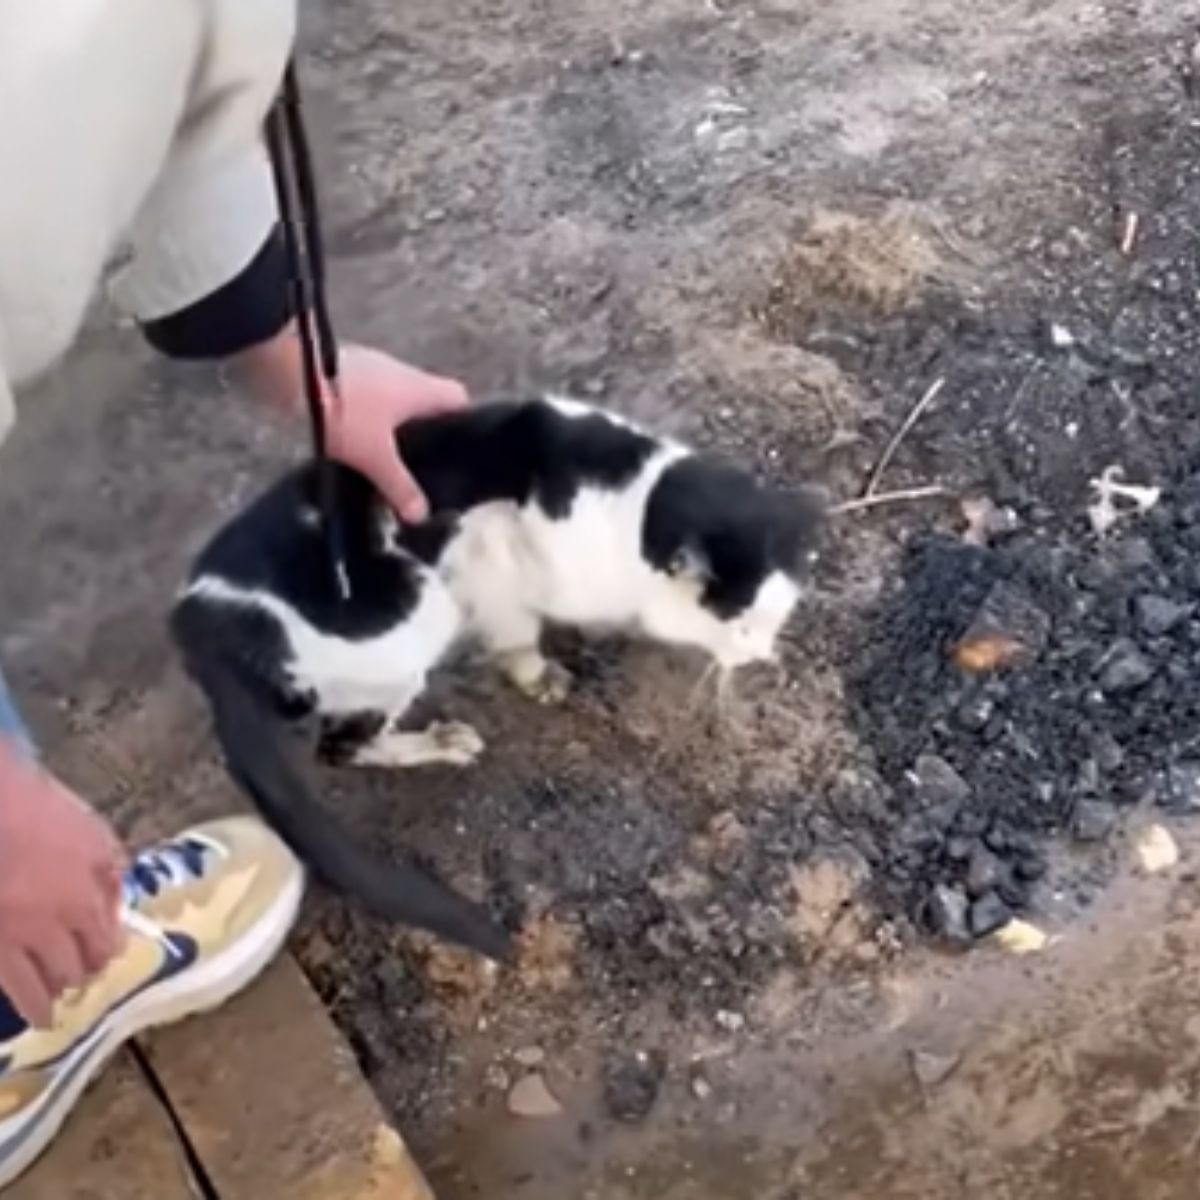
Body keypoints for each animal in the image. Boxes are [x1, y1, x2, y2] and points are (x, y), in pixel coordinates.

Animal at [171, 398, 825, 960]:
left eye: (777, 618)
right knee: (340, 745)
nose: (761, 656)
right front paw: (540, 675)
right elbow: (518, 637)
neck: (635, 511)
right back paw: (442, 743)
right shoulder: (495, 558)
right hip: (413, 618)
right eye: (739, 626)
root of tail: (201, 621)